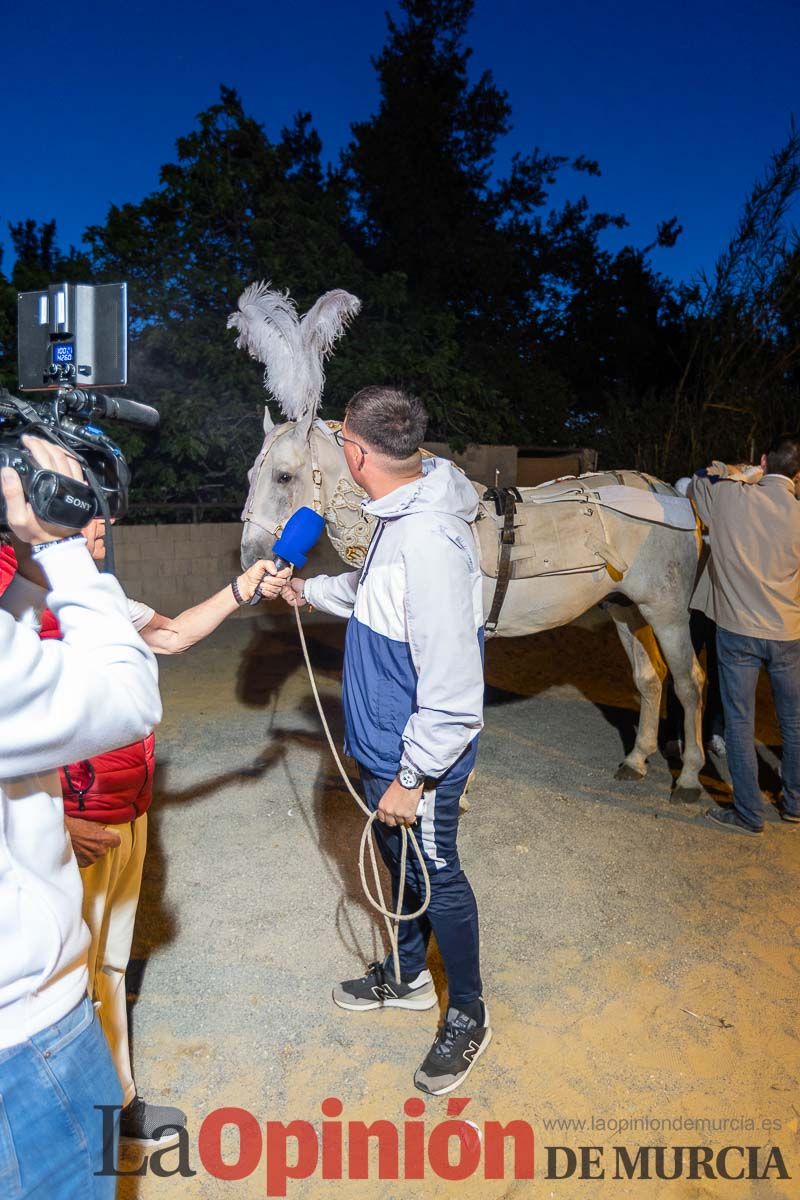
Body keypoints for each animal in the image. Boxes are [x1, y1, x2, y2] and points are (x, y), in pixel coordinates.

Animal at [227, 285, 705, 801]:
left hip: (667, 610)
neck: (415, 504)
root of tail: (669, 493)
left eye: (284, 476)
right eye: (251, 476)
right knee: (650, 678)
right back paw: (637, 759)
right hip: (625, 607)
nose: (252, 561)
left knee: (689, 683)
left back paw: (691, 777)